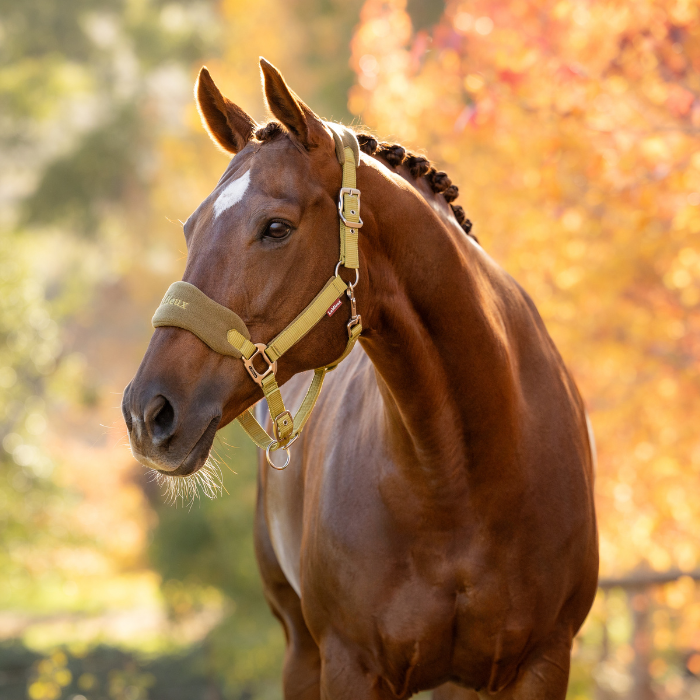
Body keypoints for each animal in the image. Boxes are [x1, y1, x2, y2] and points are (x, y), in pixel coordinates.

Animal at [123, 58, 598, 700]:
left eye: (276, 227)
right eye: (190, 229)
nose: (147, 411)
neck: (463, 481)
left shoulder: (543, 661)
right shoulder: (349, 664)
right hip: (301, 649)